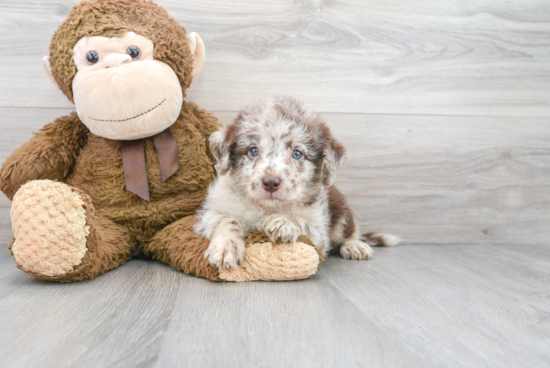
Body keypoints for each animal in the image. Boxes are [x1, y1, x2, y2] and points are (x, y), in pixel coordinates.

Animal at [195, 96, 402, 268]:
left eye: (297, 153)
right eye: (253, 150)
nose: (271, 182)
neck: (266, 208)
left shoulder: (320, 233)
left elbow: (303, 221)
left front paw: (284, 222)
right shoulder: (209, 214)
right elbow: (228, 220)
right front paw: (225, 248)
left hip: (341, 212)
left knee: (349, 232)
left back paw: (355, 246)